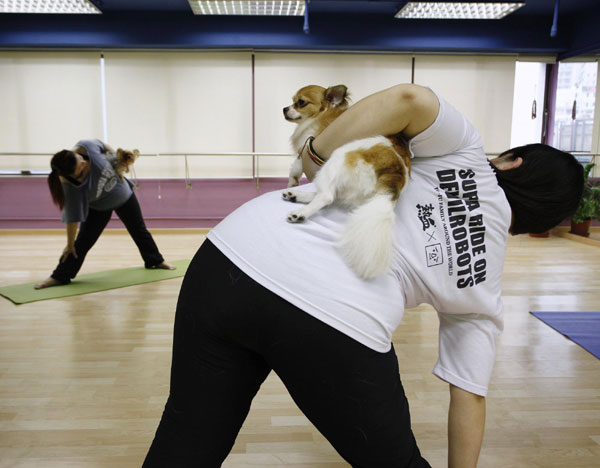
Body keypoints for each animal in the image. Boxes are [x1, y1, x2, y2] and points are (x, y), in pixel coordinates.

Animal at [284, 84, 410, 280]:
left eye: (300, 102)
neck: (321, 115)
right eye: (292, 101)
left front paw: (292, 181)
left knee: (327, 196)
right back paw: (295, 195)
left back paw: (301, 212)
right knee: (330, 196)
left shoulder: (306, 147)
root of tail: (395, 171)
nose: (284, 109)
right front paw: (293, 187)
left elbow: (295, 167)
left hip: (336, 159)